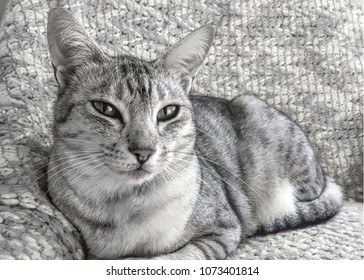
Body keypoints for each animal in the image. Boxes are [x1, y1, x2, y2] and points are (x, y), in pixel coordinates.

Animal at [46, 7, 344, 260]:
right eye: (105, 108)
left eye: (167, 112)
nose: (144, 151)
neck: (126, 205)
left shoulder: (223, 229)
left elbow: (178, 257)